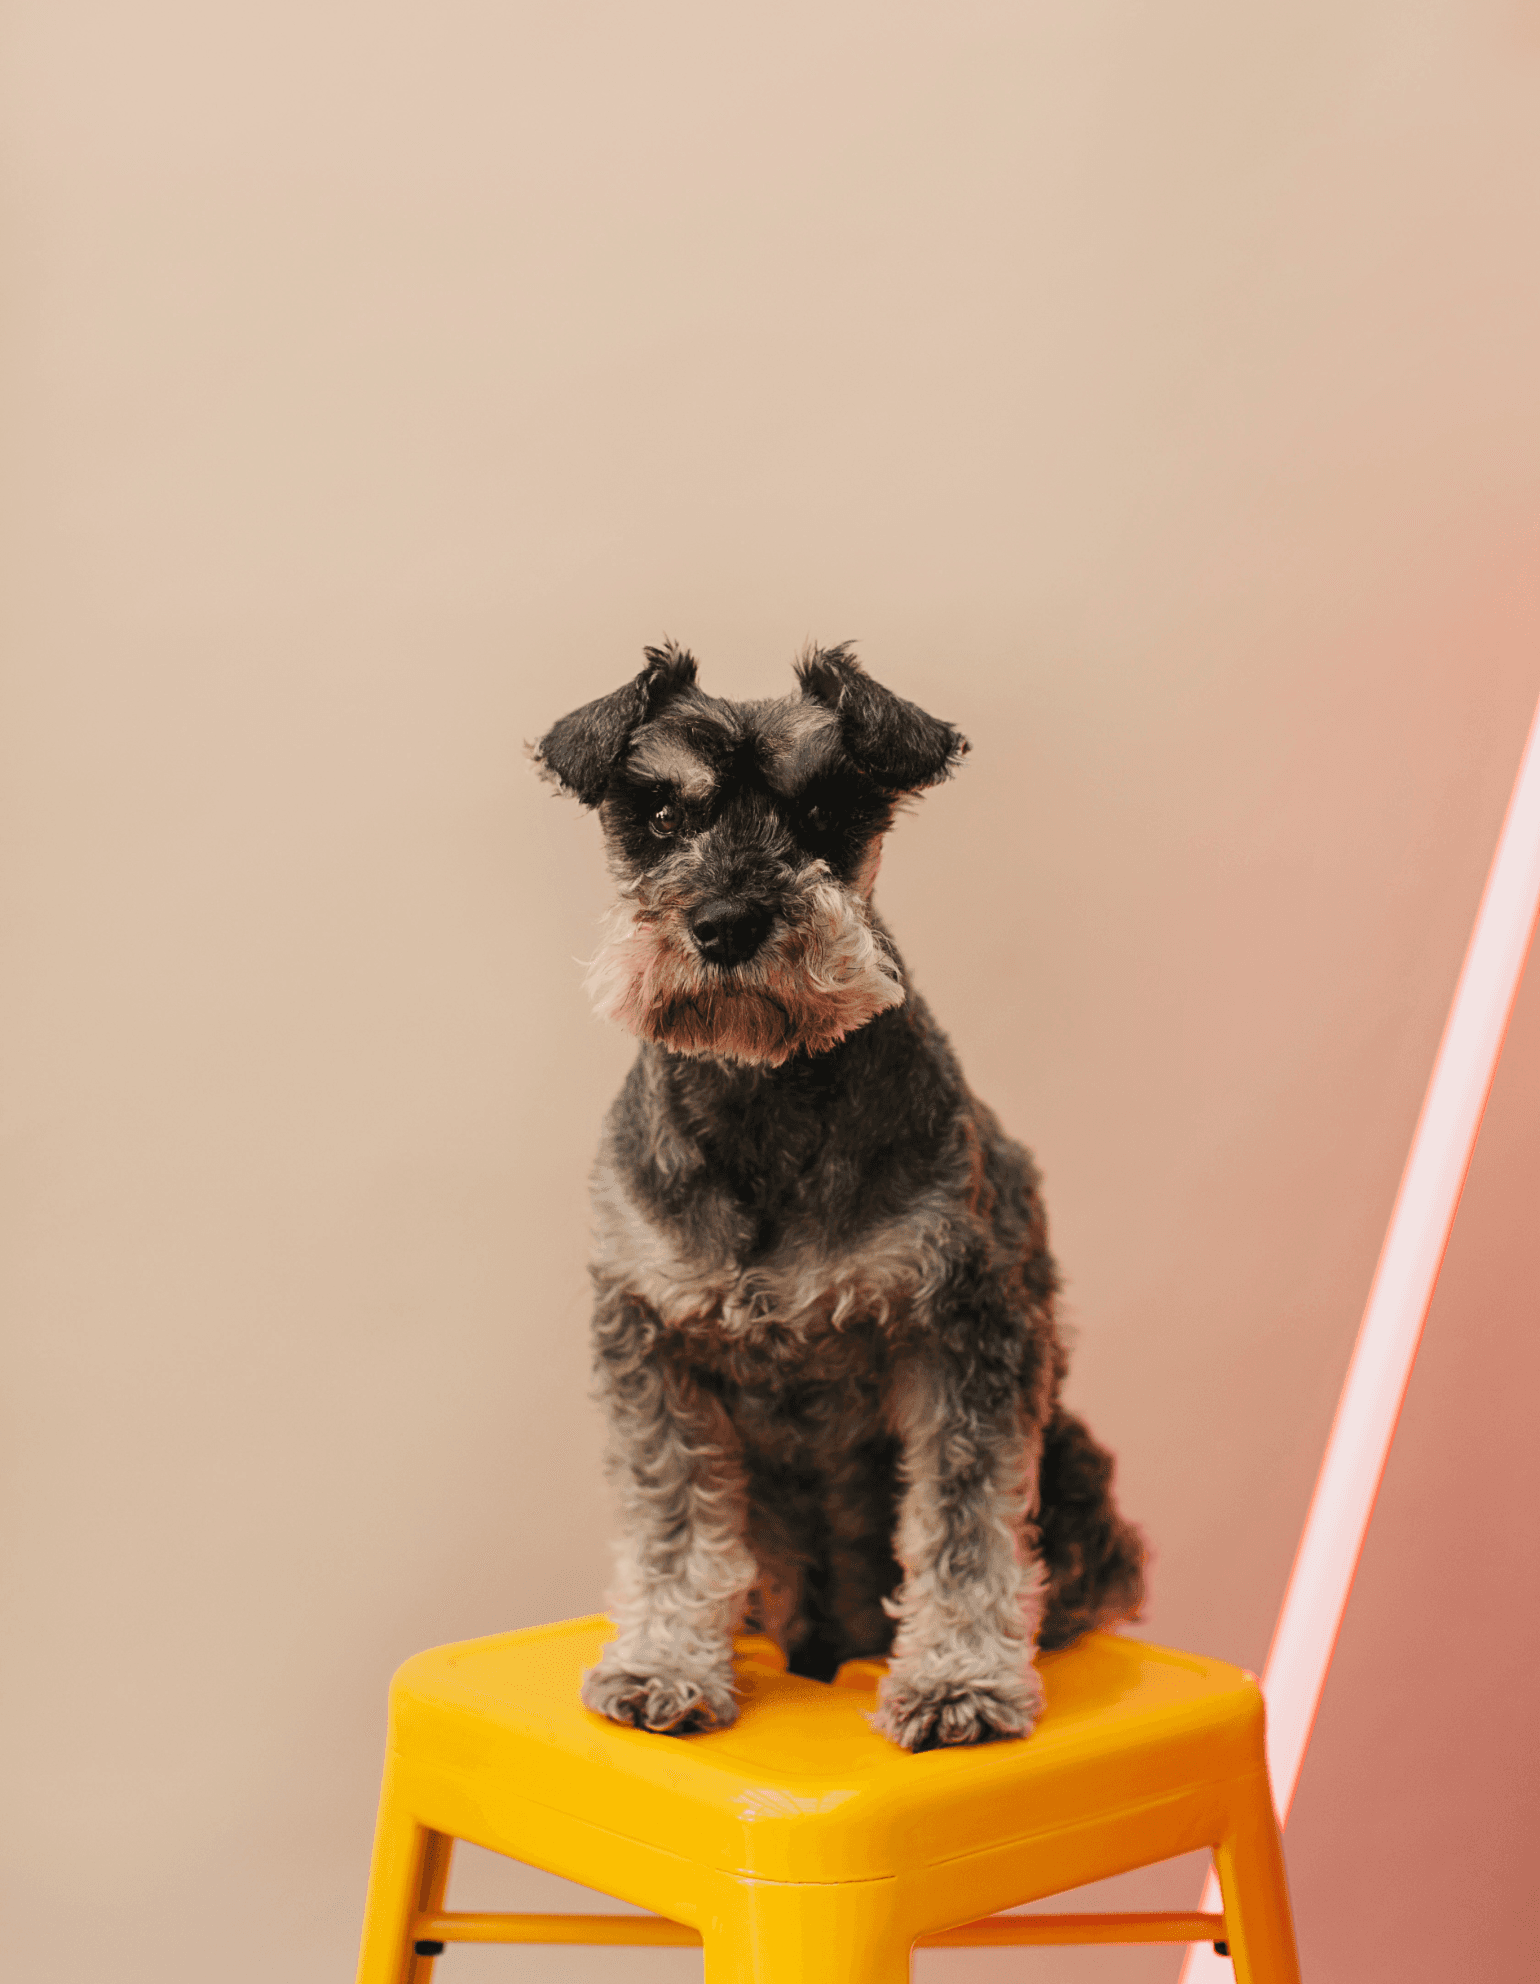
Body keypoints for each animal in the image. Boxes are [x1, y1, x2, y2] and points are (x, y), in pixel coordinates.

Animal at [531, 642, 1143, 1745]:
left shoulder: (964, 1331)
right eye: (661, 813)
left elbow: (964, 1522)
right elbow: (671, 1517)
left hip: (1071, 1461)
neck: (762, 1100)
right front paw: (663, 1663)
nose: (727, 924)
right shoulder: (648, 1338)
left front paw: (958, 1681)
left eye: (823, 811)